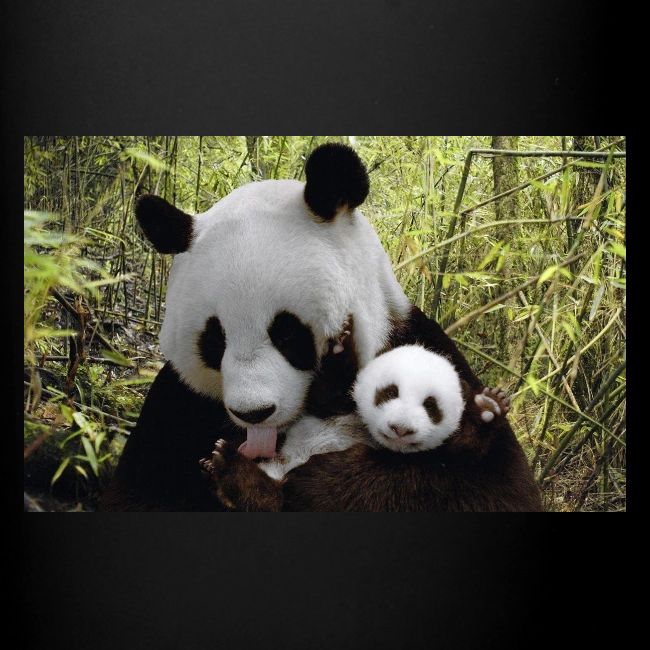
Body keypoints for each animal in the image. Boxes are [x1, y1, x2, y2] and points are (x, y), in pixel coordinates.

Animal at [100, 143, 542, 512]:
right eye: (214, 340)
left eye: (287, 333)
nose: (254, 413)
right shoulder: (178, 404)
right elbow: (140, 493)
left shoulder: (420, 346)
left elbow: (490, 488)